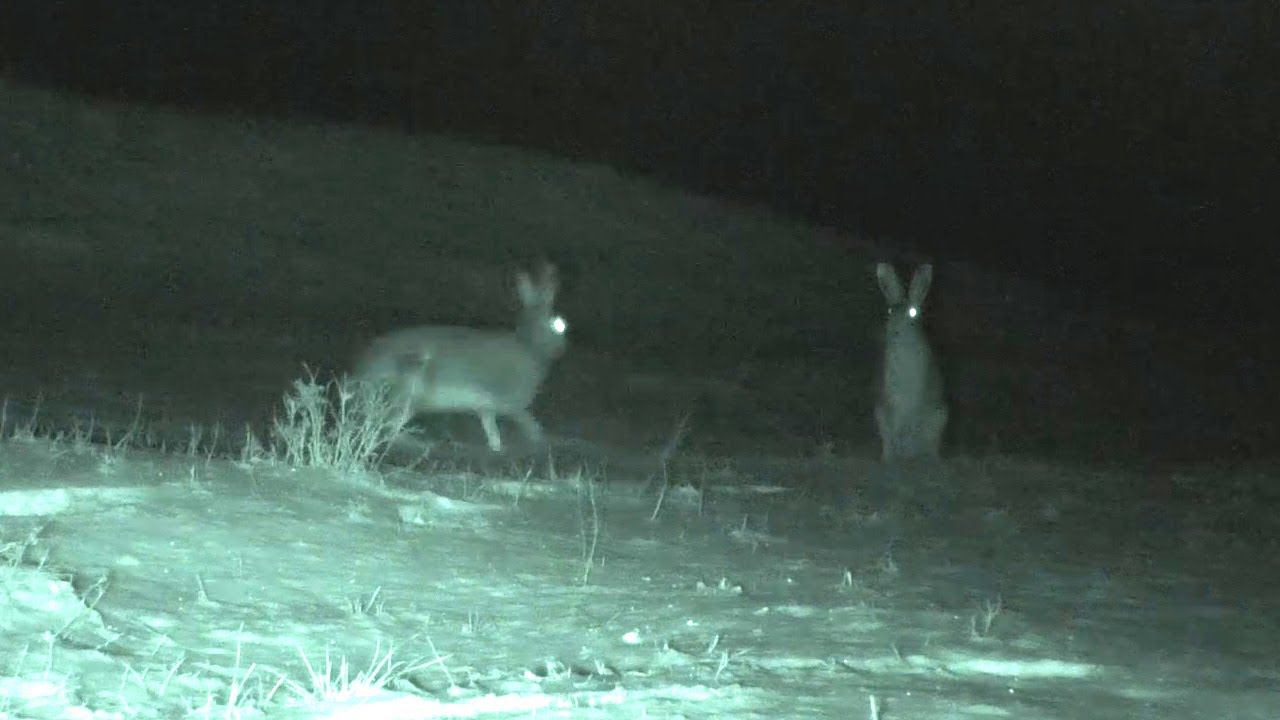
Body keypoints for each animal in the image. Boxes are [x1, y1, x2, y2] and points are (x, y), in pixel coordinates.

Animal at [355, 263, 567, 452]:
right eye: (557, 324)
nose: (562, 347)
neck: (530, 346)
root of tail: (364, 371)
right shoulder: (514, 406)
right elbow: (532, 427)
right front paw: (545, 441)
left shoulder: (486, 408)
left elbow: (491, 430)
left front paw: (497, 448)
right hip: (409, 391)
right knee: (388, 426)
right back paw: (421, 444)